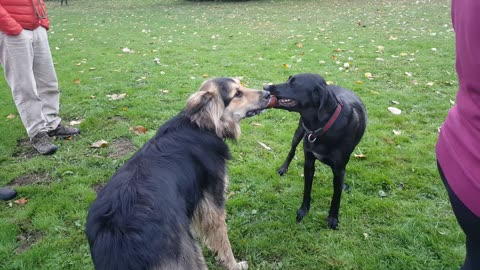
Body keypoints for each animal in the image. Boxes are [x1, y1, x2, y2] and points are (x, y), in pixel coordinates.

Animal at [86, 77, 274, 268]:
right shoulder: (213, 203)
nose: (267, 93)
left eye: (241, 85)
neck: (203, 126)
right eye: (237, 94)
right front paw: (233, 264)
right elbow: (222, 240)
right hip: (189, 252)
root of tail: (115, 232)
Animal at [264, 73, 366, 229]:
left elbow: (336, 196)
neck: (323, 126)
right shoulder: (309, 163)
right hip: (299, 132)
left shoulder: (339, 169)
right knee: (292, 151)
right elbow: (307, 189)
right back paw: (283, 168)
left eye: (293, 83)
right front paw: (303, 210)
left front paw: (333, 218)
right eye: (289, 79)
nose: (266, 87)